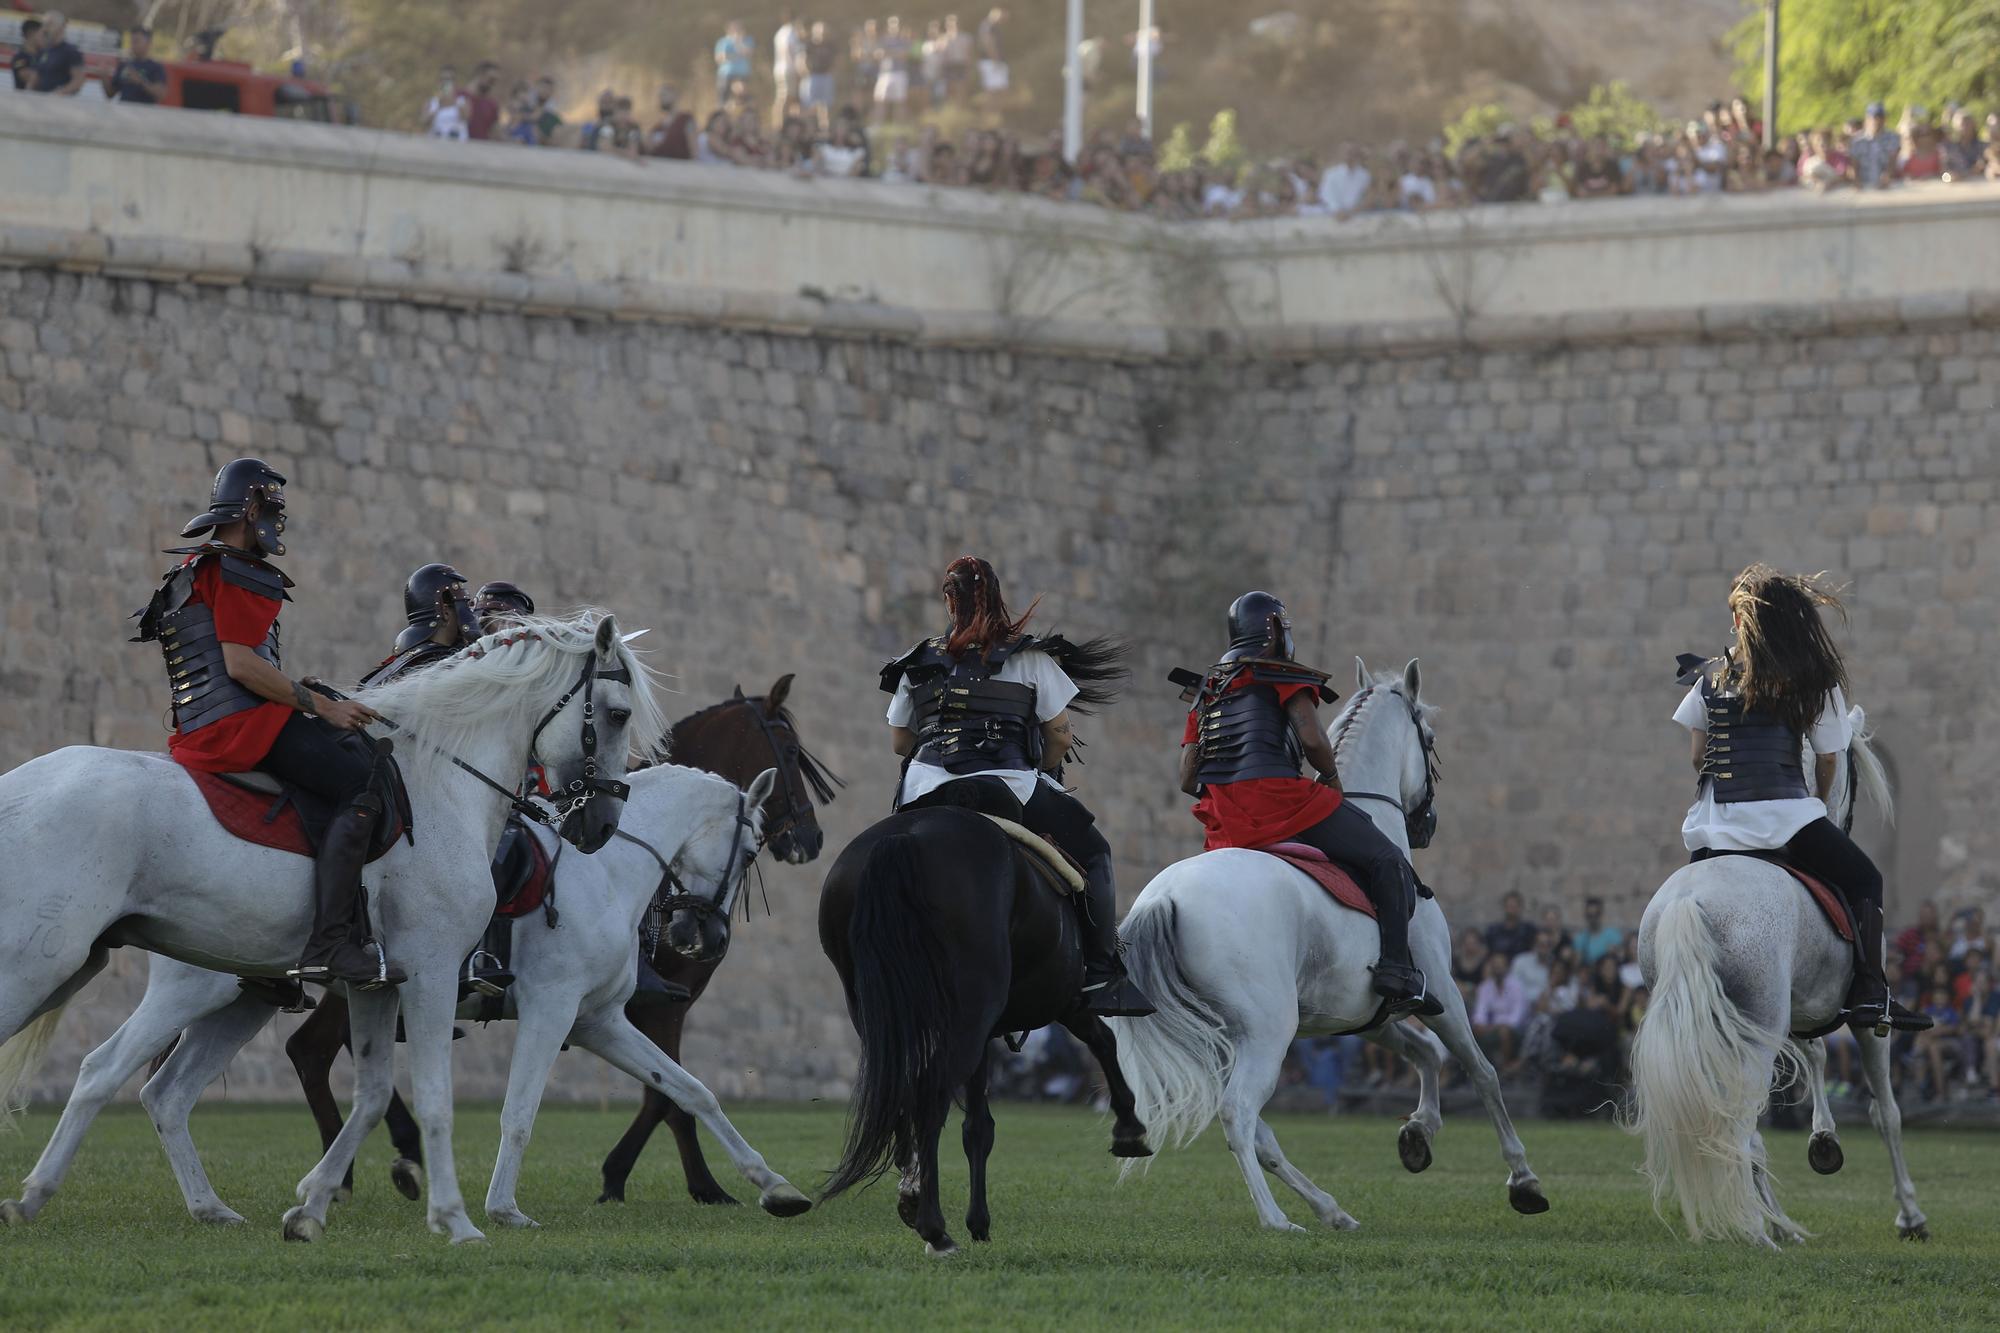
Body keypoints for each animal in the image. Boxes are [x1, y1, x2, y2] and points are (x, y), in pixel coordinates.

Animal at [0, 608, 664, 1240]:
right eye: (617, 713)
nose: (601, 824)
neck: (440, 783)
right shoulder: (433, 974)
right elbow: (436, 1100)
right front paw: (455, 1219)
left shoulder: (377, 985)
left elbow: (371, 1096)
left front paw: (311, 1209)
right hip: (52, 967)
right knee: (104, 1071)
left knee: (162, 1093)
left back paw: (189, 1205)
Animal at [5, 756, 812, 1224]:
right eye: (750, 847)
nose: (701, 937)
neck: (603, 870)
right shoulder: (551, 1012)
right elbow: (520, 1110)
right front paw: (499, 1204)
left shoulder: (601, 1022)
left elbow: (693, 1090)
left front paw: (773, 1185)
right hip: (189, 992)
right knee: (104, 1070)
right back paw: (39, 1192)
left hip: (244, 1001)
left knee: (167, 1094)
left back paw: (213, 1206)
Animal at [816, 788, 1160, 1256]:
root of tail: (906, 838)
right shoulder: (1063, 1001)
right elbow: (1103, 1040)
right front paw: (1129, 1127)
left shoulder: (982, 1032)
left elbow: (978, 1125)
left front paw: (977, 1219)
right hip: (971, 1014)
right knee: (929, 1099)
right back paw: (934, 1228)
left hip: (891, 1015)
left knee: (903, 1088)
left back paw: (914, 1196)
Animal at [1112, 660, 1544, 1232]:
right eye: (1429, 739)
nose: (1427, 826)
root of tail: (1164, 897)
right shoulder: (1444, 993)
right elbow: (1482, 1072)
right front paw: (1523, 1180)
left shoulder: (1368, 1014)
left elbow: (1426, 1054)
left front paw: (1418, 1134)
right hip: (1267, 1032)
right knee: (1238, 1114)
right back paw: (1277, 1219)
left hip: (1224, 1041)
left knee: (1259, 1132)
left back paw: (1329, 1209)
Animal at [1640, 700, 1920, 1240]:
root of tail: (1689, 902)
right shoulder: (1866, 1022)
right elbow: (1886, 1113)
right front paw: (1911, 1216)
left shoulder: (1799, 1010)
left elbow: (1816, 1056)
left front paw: (1824, 1139)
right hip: (1758, 1030)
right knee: (1741, 1124)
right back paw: (1762, 1227)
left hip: (1726, 1024)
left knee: (1740, 1126)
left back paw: (1772, 1222)